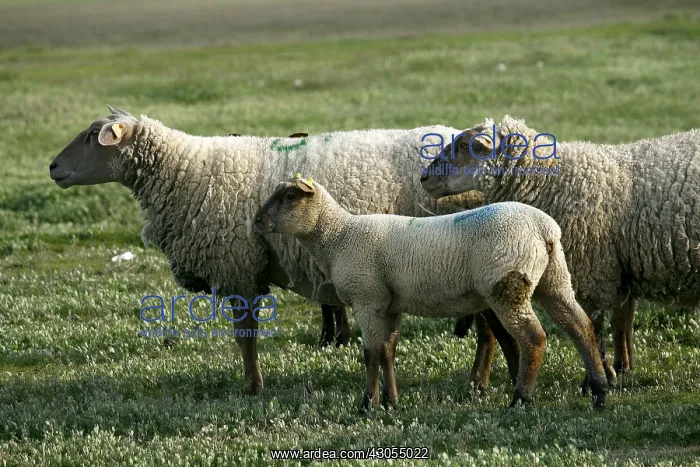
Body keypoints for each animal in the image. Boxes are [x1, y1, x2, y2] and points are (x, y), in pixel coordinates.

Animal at [48, 105, 507, 395]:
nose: (52, 167)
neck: (185, 171)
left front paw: (252, 387)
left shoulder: (236, 265)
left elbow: (245, 336)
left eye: (91, 137)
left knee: (487, 327)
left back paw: (478, 382)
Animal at [254, 177, 609, 409]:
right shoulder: (389, 304)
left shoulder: (368, 300)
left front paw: (367, 403)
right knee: (580, 327)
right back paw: (600, 390)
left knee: (533, 338)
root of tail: (544, 228)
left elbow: (370, 353)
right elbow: (388, 351)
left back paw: (521, 398)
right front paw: (391, 401)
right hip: (554, 279)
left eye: (289, 196)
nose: (256, 221)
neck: (339, 237)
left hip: (506, 285)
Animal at [421, 115, 700, 389]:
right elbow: (612, 322)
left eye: (463, 146)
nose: (424, 178)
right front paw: (613, 373)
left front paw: (599, 378)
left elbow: (592, 325)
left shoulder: (591, 270)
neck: (553, 181)